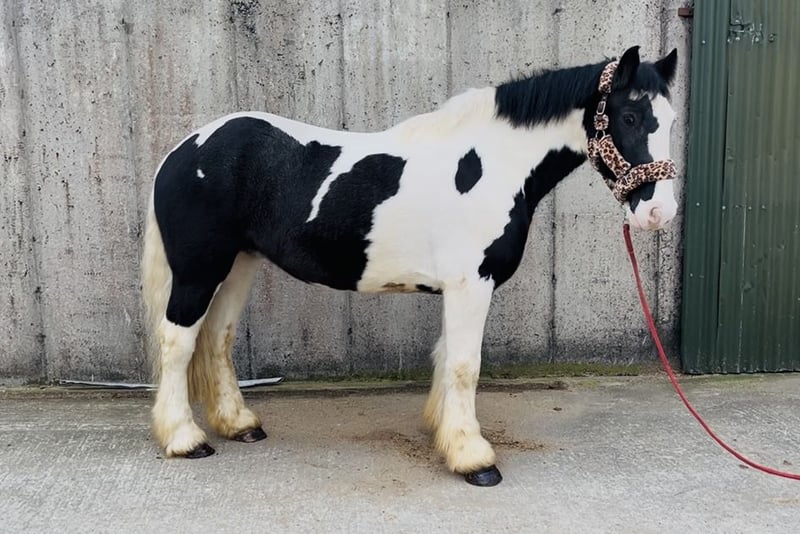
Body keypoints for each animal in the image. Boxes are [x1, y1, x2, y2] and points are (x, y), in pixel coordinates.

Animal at [141, 46, 679, 486]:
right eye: (630, 115)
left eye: (671, 121)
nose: (658, 212)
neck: (492, 164)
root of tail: (183, 150)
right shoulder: (471, 284)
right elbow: (465, 365)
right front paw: (474, 459)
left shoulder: (458, 288)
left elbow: (445, 358)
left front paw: (445, 433)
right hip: (198, 271)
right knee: (178, 342)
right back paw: (185, 440)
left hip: (238, 266)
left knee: (217, 338)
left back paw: (240, 425)